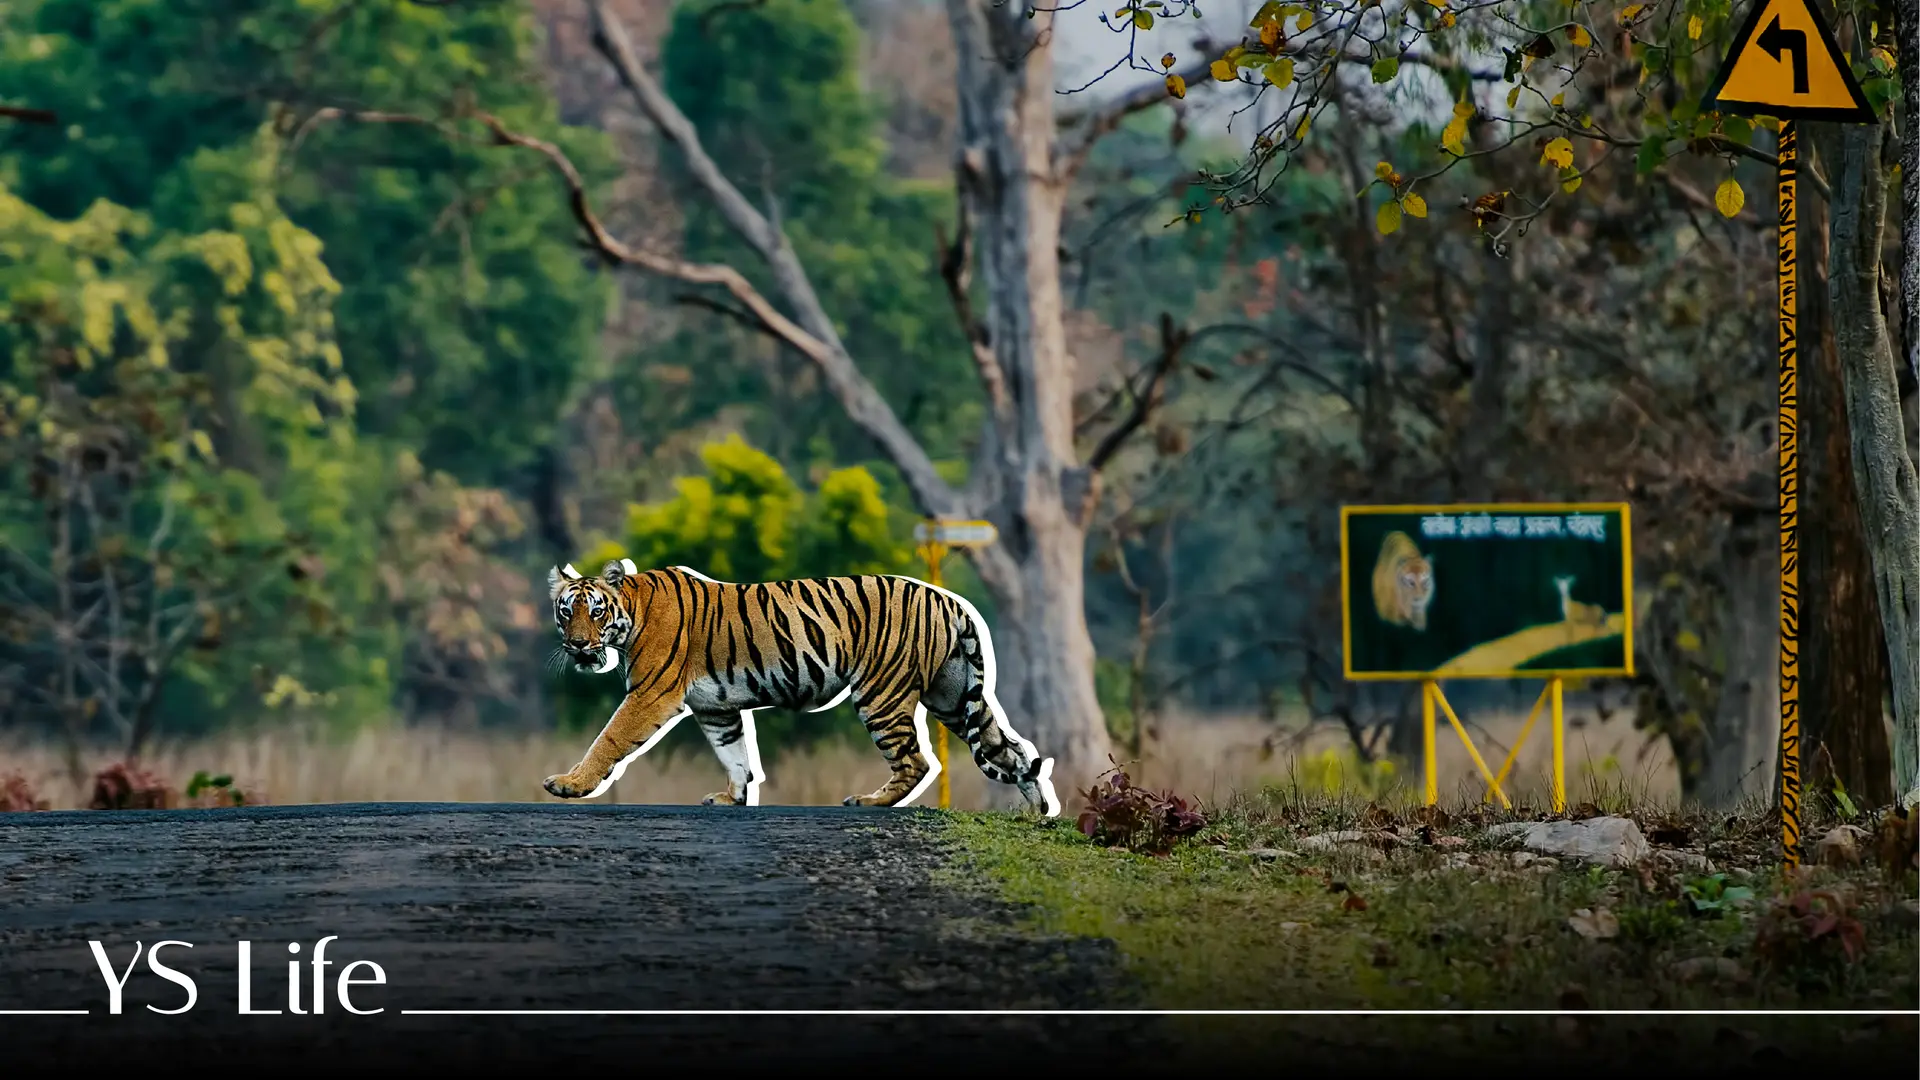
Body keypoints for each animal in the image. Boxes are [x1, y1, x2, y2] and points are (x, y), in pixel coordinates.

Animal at [544, 559, 1060, 816]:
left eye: (595, 611)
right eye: (566, 612)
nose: (577, 645)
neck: (631, 611)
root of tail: (949, 601)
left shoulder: (651, 693)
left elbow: (609, 739)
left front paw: (569, 783)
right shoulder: (716, 708)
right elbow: (735, 755)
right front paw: (732, 799)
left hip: (881, 695)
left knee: (916, 761)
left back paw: (868, 802)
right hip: (953, 696)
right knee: (1011, 749)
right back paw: (1038, 810)